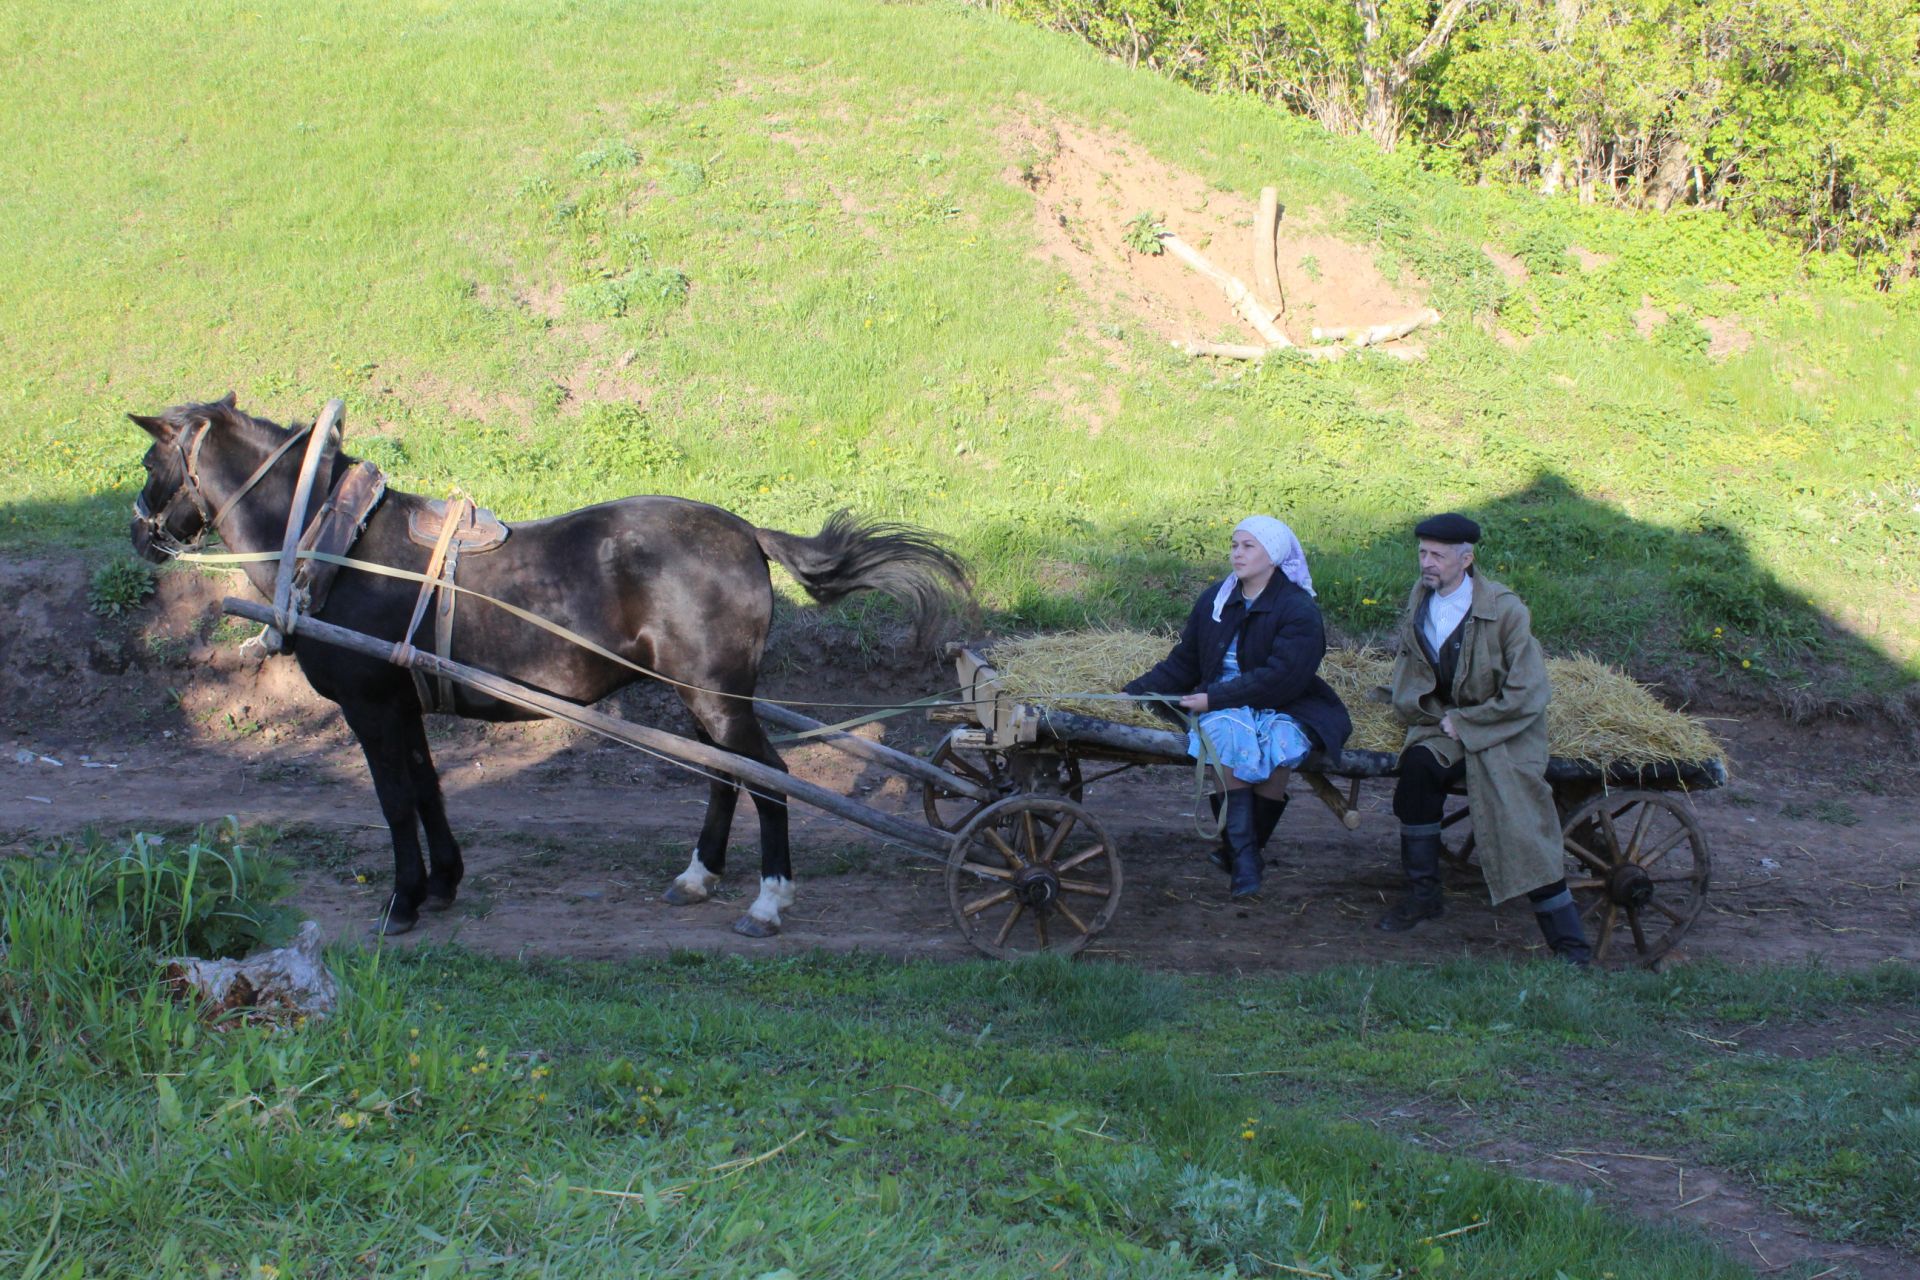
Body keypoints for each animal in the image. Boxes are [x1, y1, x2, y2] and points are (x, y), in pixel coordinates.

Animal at [131, 401, 975, 940]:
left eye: (148, 459)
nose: (141, 536)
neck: (334, 544)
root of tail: (745, 532)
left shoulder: (370, 707)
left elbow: (397, 802)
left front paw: (402, 902)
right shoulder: (406, 705)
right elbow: (430, 790)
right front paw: (445, 884)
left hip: (718, 697)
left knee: (766, 779)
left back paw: (770, 902)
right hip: (702, 698)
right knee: (725, 776)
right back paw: (699, 875)